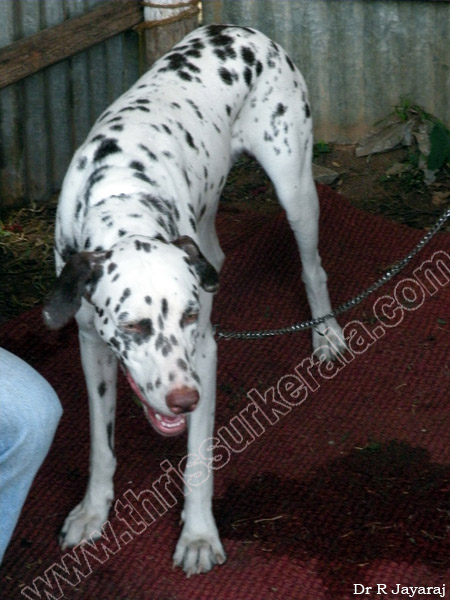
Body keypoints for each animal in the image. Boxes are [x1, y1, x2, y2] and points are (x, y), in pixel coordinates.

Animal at [43, 24, 344, 576]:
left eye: (184, 317)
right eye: (133, 326)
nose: (185, 399)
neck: (121, 196)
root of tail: (241, 29)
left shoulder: (201, 354)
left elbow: (199, 458)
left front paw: (199, 535)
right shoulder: (92, 346)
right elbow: (100, 442)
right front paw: (93, 510)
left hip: (295, 188)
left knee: (313, 268)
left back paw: (326, 334)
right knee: (216, 257)